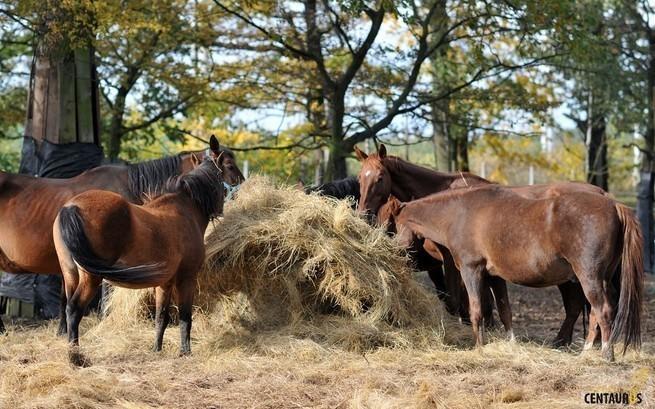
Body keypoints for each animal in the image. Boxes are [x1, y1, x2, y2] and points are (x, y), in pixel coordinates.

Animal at [52, 153, 226, 360]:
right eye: (224, 173)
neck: (185, 210)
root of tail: (72, 207)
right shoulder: (187, 279)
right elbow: (185, 317)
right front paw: (185, 352)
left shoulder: (164, 283)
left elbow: (161, 317)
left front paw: (156, 349)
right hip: (91, 277)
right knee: (74, 309)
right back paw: (76, 358)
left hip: (70, 274)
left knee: (67, 306)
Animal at [358, 143, 608, 344]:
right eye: (360, 178)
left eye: (380, 178)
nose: (363, 213)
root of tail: (601, 194)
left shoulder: (451, 262)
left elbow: (460, 300)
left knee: (579, 306)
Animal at [386, 185, 644, 360]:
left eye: (394, 225)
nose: (393, 249)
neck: (459, 214)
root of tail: (614, 205)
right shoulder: (495, 277)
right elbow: (505, 311)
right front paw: (509, 343)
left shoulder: (472, 271)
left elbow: (476, 311)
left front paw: (479, 347)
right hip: (601, 279)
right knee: (595, 314)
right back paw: (587, 350)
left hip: (589, 277)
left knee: (603, 311)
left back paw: (606, 353)